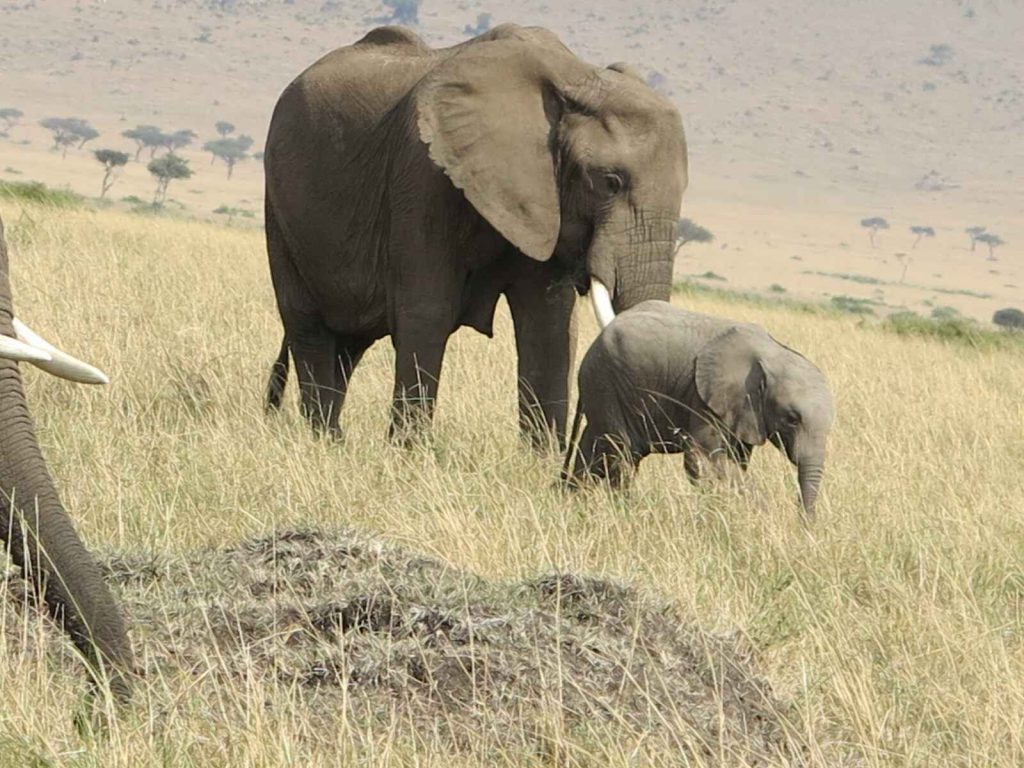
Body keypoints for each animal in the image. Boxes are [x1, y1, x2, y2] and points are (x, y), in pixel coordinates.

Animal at [263, 24, 688, 448]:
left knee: (349, 343)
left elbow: (548, 326)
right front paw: (409, 454)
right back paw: (323, 440)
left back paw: (334, 438)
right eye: (610, 182)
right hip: (280, 210)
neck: (575, 77)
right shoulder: (422, 175)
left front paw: (538, 460)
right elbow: (427, 311)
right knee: (309, 327)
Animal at [562, 301, 835, 522]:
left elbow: (734, 460)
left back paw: (573, 500)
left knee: (595, 448)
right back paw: (626, 511)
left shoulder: (742, 411)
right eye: (792, 419)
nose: (805, 524)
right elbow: (704, 460)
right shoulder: (704, 397)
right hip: (605, 381)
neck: (773, 354)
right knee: (622, 452)